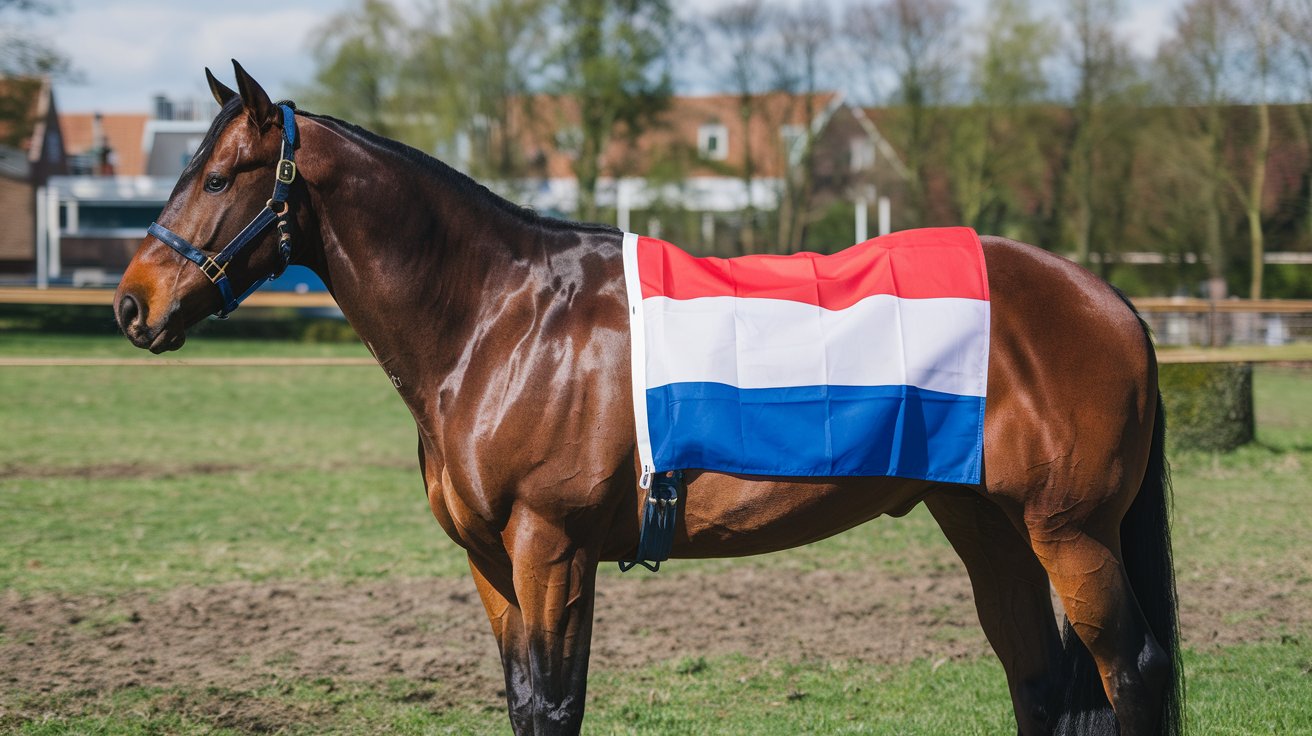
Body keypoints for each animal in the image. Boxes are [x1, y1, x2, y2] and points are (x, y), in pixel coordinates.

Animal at [114, 62, 1182, 735]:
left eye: (221, 175)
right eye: (188, 169)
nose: (133, 304)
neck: (502, 321)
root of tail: (1109, 301)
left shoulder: (551, 547)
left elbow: (554, 706)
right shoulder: (494, 564)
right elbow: (525, 703)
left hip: (1071, 533)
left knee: (1130, 673)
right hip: (988, 522)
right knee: (1042, 684)